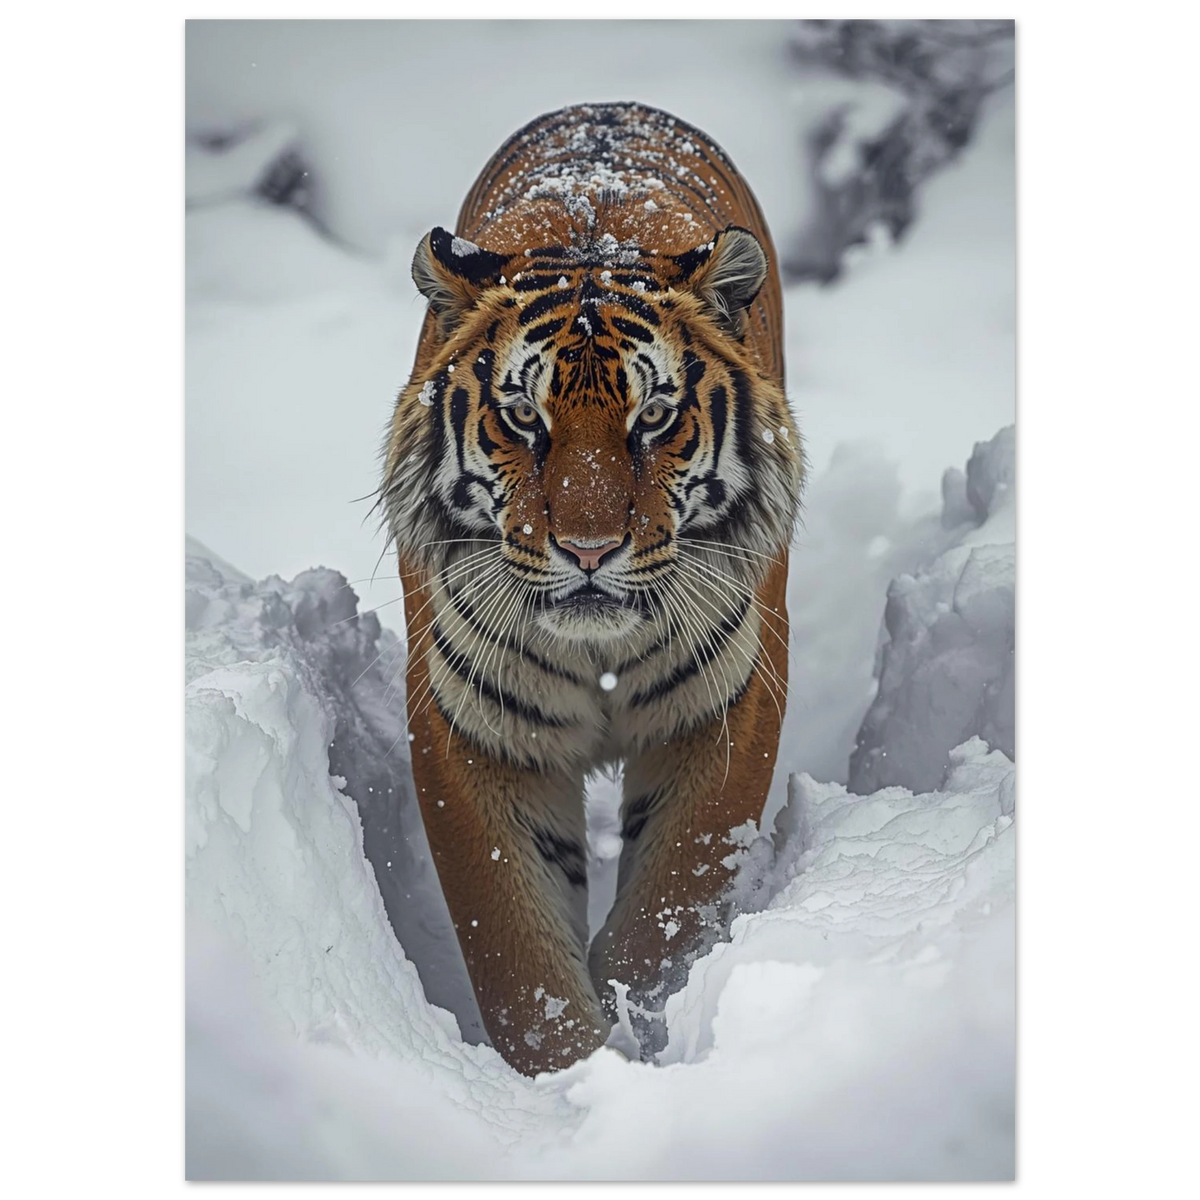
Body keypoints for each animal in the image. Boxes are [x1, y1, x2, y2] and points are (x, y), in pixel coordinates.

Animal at [380, 102, 805, 1077]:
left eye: (653, 417)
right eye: (522, 417)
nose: (586, 548)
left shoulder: (726, 705)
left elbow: (669, 902)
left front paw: (633, 1017)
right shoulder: (472, 728)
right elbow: (515, 951)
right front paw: (571, 1071)